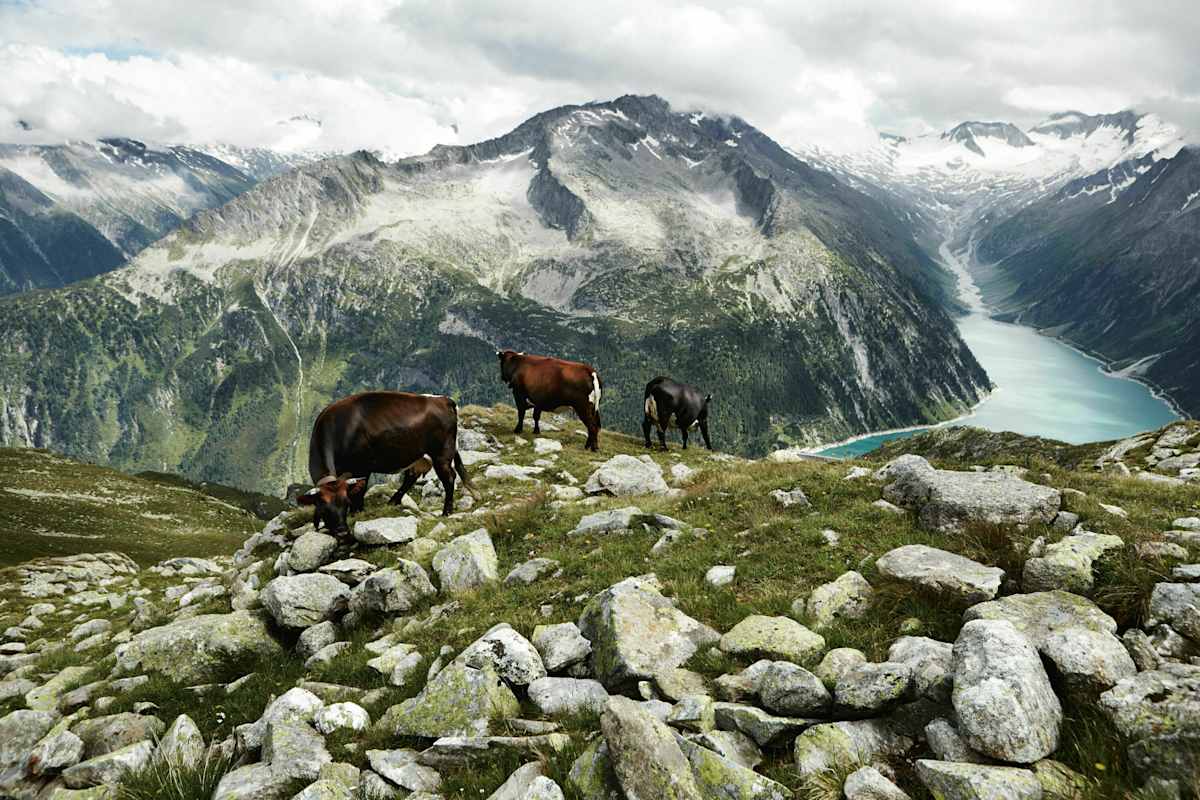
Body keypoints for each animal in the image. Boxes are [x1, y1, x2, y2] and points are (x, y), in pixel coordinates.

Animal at [297, 391, 474, 530]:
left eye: (345, 503)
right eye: (323, 507)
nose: (341, 530)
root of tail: (444, 399)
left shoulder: (362, 468)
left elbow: (360, 492)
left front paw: (357, 513)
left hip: (441, 454)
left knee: (449, 478)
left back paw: (447, 512)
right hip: (420, 455)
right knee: (412, 476)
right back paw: (393, 501)